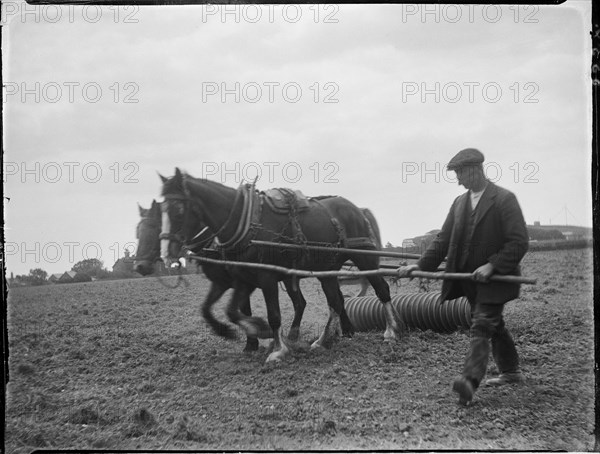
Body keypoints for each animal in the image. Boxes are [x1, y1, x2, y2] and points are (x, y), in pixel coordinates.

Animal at [134, 199, 314, 352]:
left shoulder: (245, 283)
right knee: (300, 303)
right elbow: (209, 309)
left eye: (156, 227)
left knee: (300, 303)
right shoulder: (222, 283)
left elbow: (239, 312)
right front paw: (246, 340)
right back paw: (293, 336)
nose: (139, 266)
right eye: (138, 231)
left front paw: (257, 334)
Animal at [159, 168, 406, 364]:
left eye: (178, 208)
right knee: (335, 301)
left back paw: (390, 331)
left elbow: (273, 315)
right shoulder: (241, 279)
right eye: (159, 209)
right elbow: (224, 311)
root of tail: (357, 209)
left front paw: (276, 348)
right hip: (326, 269)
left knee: (381, 289)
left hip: (364, 259)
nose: (166, 254)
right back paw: (325, 340)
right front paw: (249, 333)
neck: (245, 223)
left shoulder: (266, 277)